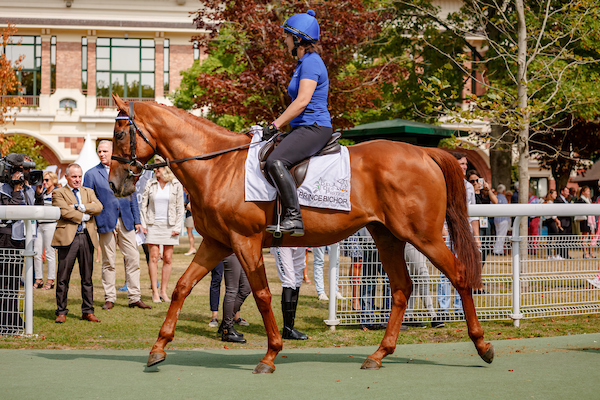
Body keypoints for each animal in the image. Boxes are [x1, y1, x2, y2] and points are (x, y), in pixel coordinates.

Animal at [108, 95, 492, 374]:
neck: (217, 166)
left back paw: (482, 345)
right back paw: (380, 354)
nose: (114, 184)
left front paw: (271, 354)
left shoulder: (244, 241)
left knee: (458, 274)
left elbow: (263, 295)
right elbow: (182, 287)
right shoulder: (218, 243)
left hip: (423, 237)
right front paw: (158, 348)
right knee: (401, 289)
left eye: (119, 134)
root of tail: (425, 153)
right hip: (388, 237)